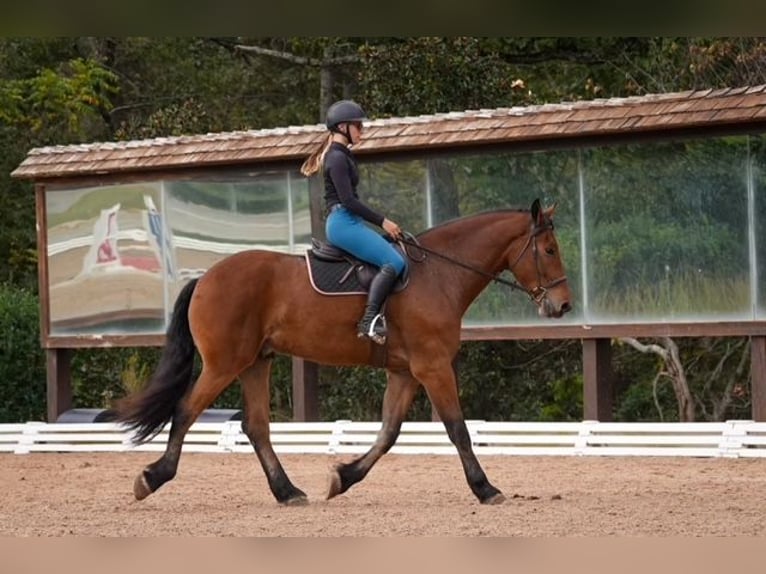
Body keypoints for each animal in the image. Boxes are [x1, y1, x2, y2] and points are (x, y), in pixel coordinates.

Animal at [115, 198, 572, 506]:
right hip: (224, 365)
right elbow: (457, 429)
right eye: (550, 250)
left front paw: (343, 477)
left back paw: (287, 492)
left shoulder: (406, 373)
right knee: (185, 411)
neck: (440, 274)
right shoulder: (434, 367)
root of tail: (204, 278)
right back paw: (152, 478)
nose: (563, 306)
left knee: (256, 427)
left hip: (255, 363)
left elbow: (388, 434)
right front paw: (485, 488)